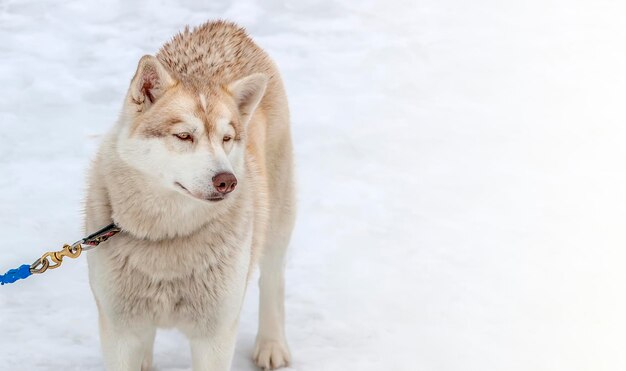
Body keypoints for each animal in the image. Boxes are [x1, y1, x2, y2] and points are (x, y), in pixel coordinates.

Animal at [84, 21, 294, 371]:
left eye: (226, 138)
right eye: (184, 136)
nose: (227, 181)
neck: (166, 237)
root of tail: (223, 26)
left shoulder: (215, 334)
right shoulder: (119, 329)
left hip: (276, 222)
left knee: (273, 279)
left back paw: (272, 345)